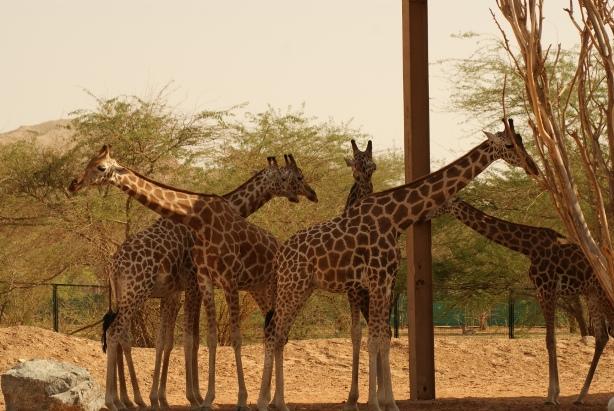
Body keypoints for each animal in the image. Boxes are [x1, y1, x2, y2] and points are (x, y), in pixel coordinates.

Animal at [68, 148, 318, 411]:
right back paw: (120, 400)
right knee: (118, 332)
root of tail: (112, 266)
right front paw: (192, 397)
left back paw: (125, 399)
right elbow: (189, 340)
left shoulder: (178, 290)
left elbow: (170, 341)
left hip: (125, 295)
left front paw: (164, 398)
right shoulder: (192, 284)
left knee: (117, 333)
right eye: (298, 176)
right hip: (136, 291)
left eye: (98, 166)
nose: (311, 193)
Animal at [258, 119, 540, 411]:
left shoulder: (386, 280)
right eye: (509, 145)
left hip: (303, 288)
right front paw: (374, 403)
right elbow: (373, 339)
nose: (533, 166)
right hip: (293, 286)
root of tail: (281, 255)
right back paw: (270, 402)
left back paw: (276, 402)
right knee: (274, 333)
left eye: (522, 141)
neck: (396, 219)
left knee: (279, 334)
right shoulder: (376, 278)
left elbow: (383, 338)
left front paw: (389, 403)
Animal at [424, 197, 614, 406]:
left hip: (601, 294)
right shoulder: (546, 291)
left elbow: (550, 340)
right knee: (602, 336)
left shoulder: (546, 288)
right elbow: (552, 339)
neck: (528, 248)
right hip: (593, 294)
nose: (425, 214)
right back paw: (580, 397)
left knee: (606, 334)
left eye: (439, 201)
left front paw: (552, 396)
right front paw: (554, 394)